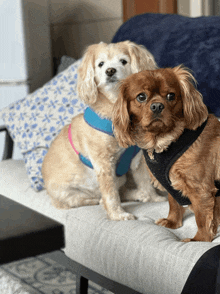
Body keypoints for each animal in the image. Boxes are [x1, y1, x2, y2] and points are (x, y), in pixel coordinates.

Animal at [42, 41, 165, 220]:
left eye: (123, 61)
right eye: (100, 64)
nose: (110, 70)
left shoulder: (137, 160)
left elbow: (144, 181)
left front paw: (153, 198)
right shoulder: (104, 163)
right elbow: (111, 194)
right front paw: (117, 214)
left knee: (123, 190)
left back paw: (139, 194)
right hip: (66, 192)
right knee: (78, 200)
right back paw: (98, 200)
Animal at [112, 66, 220, 241]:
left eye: (171, 96)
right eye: (141, 97)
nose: (157, 106)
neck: (162, 142)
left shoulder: (201, 190)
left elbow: (202, 218)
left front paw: (199, 240)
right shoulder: (169, 183)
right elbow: (173, 203)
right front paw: (172, 222)